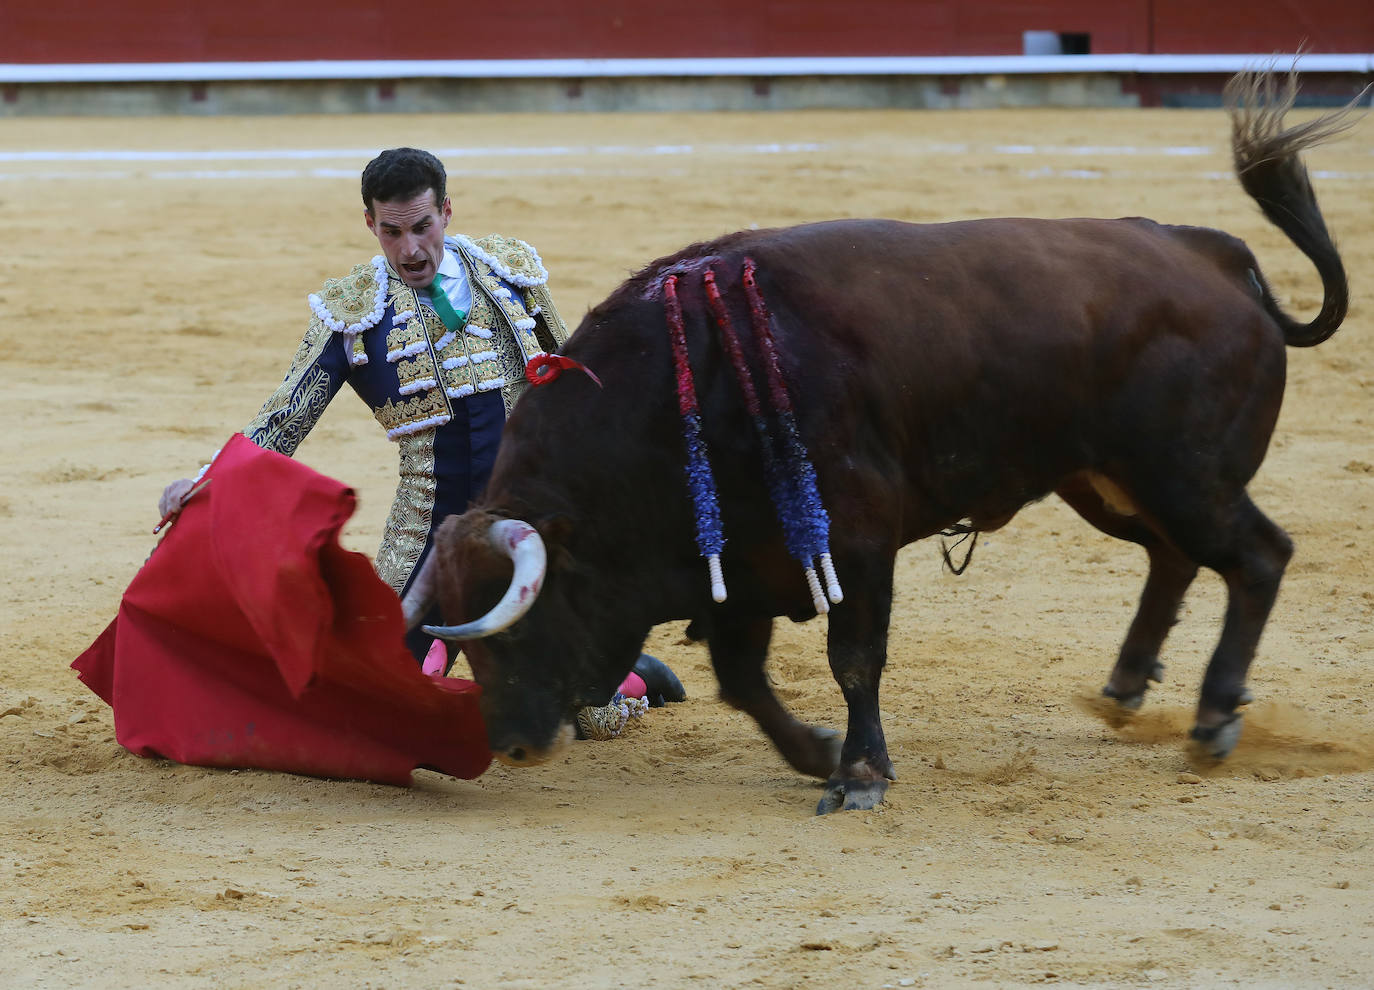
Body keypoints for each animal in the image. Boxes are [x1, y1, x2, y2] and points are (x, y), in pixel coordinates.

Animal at [403, 69, 1363, 812]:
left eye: (515, 628)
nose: (511, 744)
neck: (681, 388)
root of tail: (1215, 257)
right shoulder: (744, 558)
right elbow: (741, 678)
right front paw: (820, 754)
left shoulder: (852, 539)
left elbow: (853, 656)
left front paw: (860, 774)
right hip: (1105, 480)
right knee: (1174, 557)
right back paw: (1125, 691)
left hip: (1184, 475)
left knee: (1257, 556)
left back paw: (1214, 720)